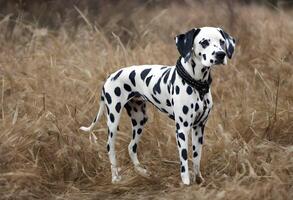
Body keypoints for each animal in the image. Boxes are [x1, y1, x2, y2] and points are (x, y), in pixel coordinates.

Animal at [80, 27, 235, 186]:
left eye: (222, 42)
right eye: (204, 42)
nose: (221, 55)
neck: (198, 85)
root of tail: (110, 77)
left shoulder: (199, 127)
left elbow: (197, 157)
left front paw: (198, 180)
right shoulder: (182, 128)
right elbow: (184, 159)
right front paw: (186, 183)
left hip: (140, 119)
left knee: (131, 146)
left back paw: (141, 171)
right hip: (113, 120)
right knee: (110, 146)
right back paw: (115, 177)